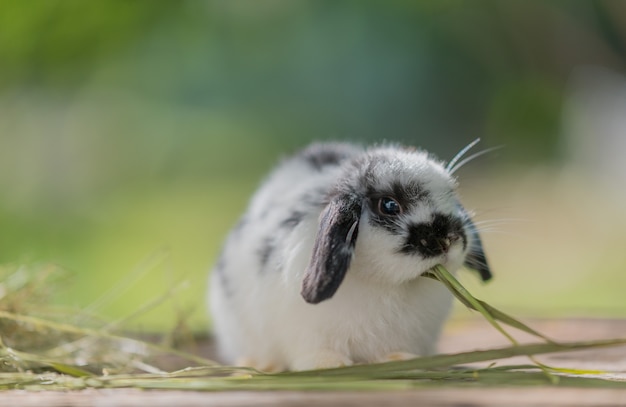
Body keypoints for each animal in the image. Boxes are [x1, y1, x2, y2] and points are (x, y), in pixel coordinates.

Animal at [207, 142, 490, 372]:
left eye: (450, 196)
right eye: (389, 205)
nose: (449, 240)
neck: (385, 283)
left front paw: (400, 359)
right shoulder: (306, 332)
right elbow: (315, 351)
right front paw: (329, 365)